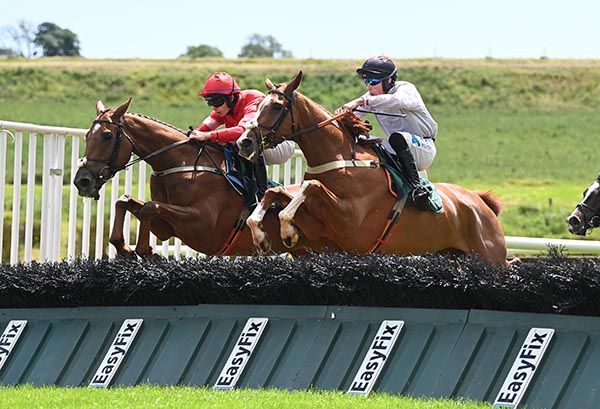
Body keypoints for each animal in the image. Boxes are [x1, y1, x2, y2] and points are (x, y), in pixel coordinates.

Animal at [73, 98, 326, 256]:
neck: (180, 165)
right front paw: (124, 248)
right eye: (87, 136)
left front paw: (145, 251)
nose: (82, 181)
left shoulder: (204, 225)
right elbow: (124, 201)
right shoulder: (166, 229)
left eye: (107, 136)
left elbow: (149, 208)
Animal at [237, 71, 508, 264]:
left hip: (490, 259)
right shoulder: (322, 229)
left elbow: (311, 185)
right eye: (258, 105)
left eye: (276, 106)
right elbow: (275, 192)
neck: (340, 157)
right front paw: (263, 234)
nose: (244, 142)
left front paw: (283, 227)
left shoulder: (350, 220)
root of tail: (480, 201)